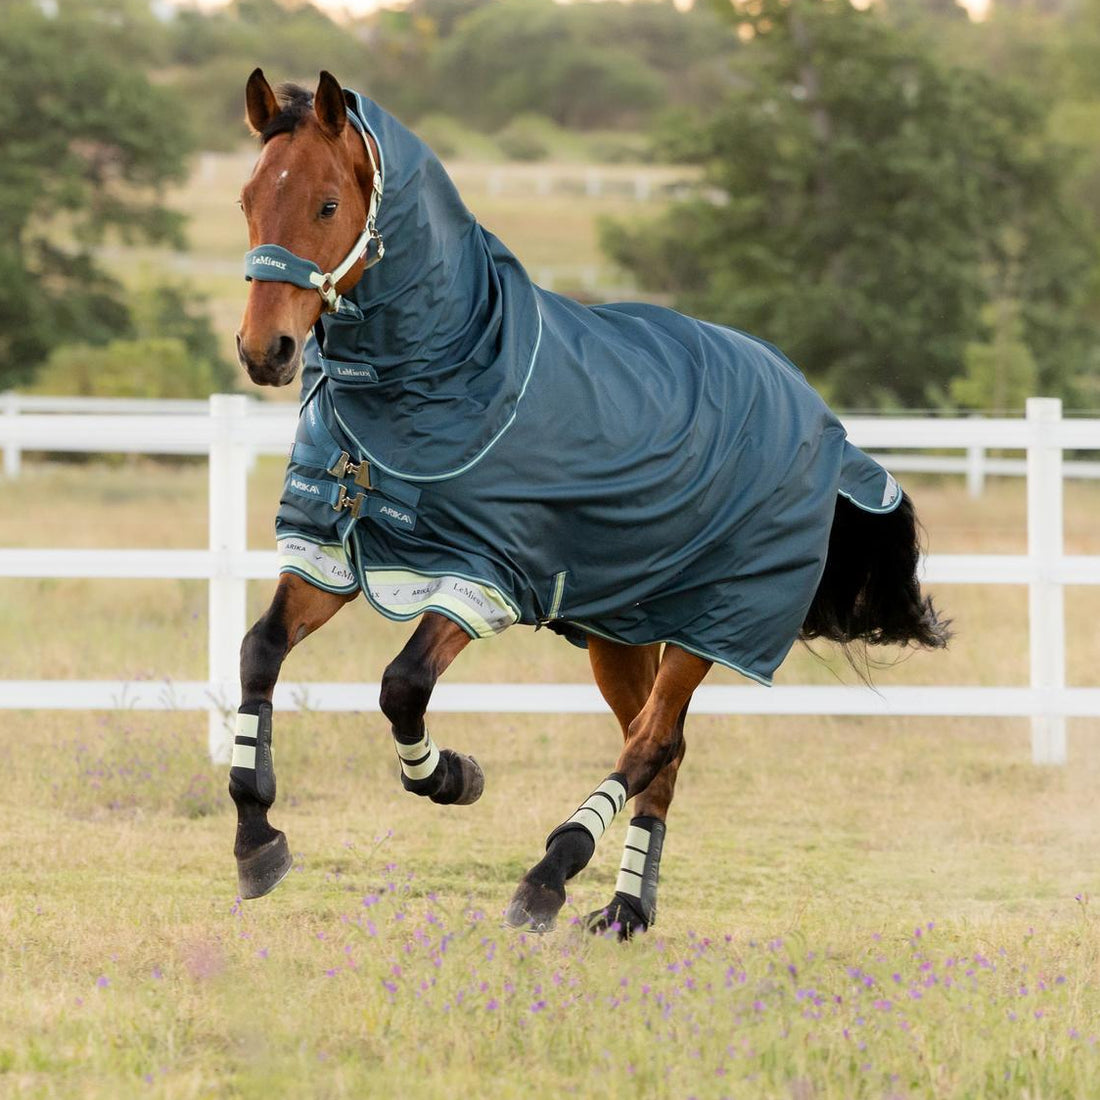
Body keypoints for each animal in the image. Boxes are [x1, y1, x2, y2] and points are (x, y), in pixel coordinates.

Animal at [231, 69, 949, 937]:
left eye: (328, 204)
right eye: (246, 199)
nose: (264, 351)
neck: (452, 373)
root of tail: (817, 413)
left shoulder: (483, 576)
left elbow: (402, 685)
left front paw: (452, 776)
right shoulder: (331, 554)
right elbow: (261, 651)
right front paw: (257, 836)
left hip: (712, 625)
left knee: (648, 747)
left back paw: (551, 874)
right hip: (622, 628)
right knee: (663, 753)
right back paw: (626, 908)